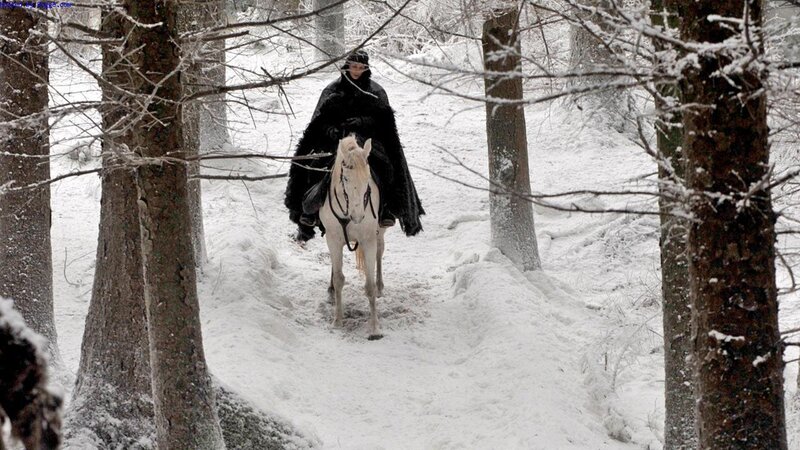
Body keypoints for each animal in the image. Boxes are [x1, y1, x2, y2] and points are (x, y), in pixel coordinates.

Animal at [318, 135, 386, 340]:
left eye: (367, 178)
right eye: (346, 178)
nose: (358, 217)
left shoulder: (368, 240)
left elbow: (369, 286)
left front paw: (374, 328)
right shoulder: (333, 239)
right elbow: (339, 278)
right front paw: (337, 321)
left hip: (379, 234)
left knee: (380, 253)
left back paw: (380, 286)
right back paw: (331, 291)